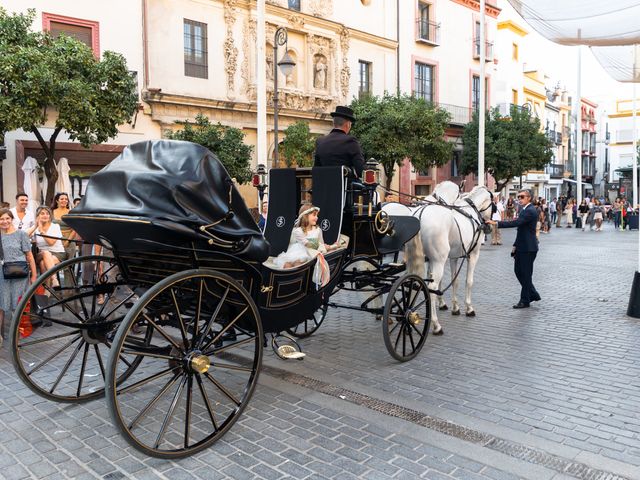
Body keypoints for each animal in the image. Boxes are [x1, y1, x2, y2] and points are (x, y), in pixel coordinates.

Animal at [382, 183, 492, 334]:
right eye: (493, 203)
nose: (488, 227)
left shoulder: (451, 257)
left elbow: (454, 281)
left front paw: (453, 306)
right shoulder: (472, 254)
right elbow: (468, 281)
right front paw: (468, 308)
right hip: (438, 260)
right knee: (430, 288)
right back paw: (435, 324)